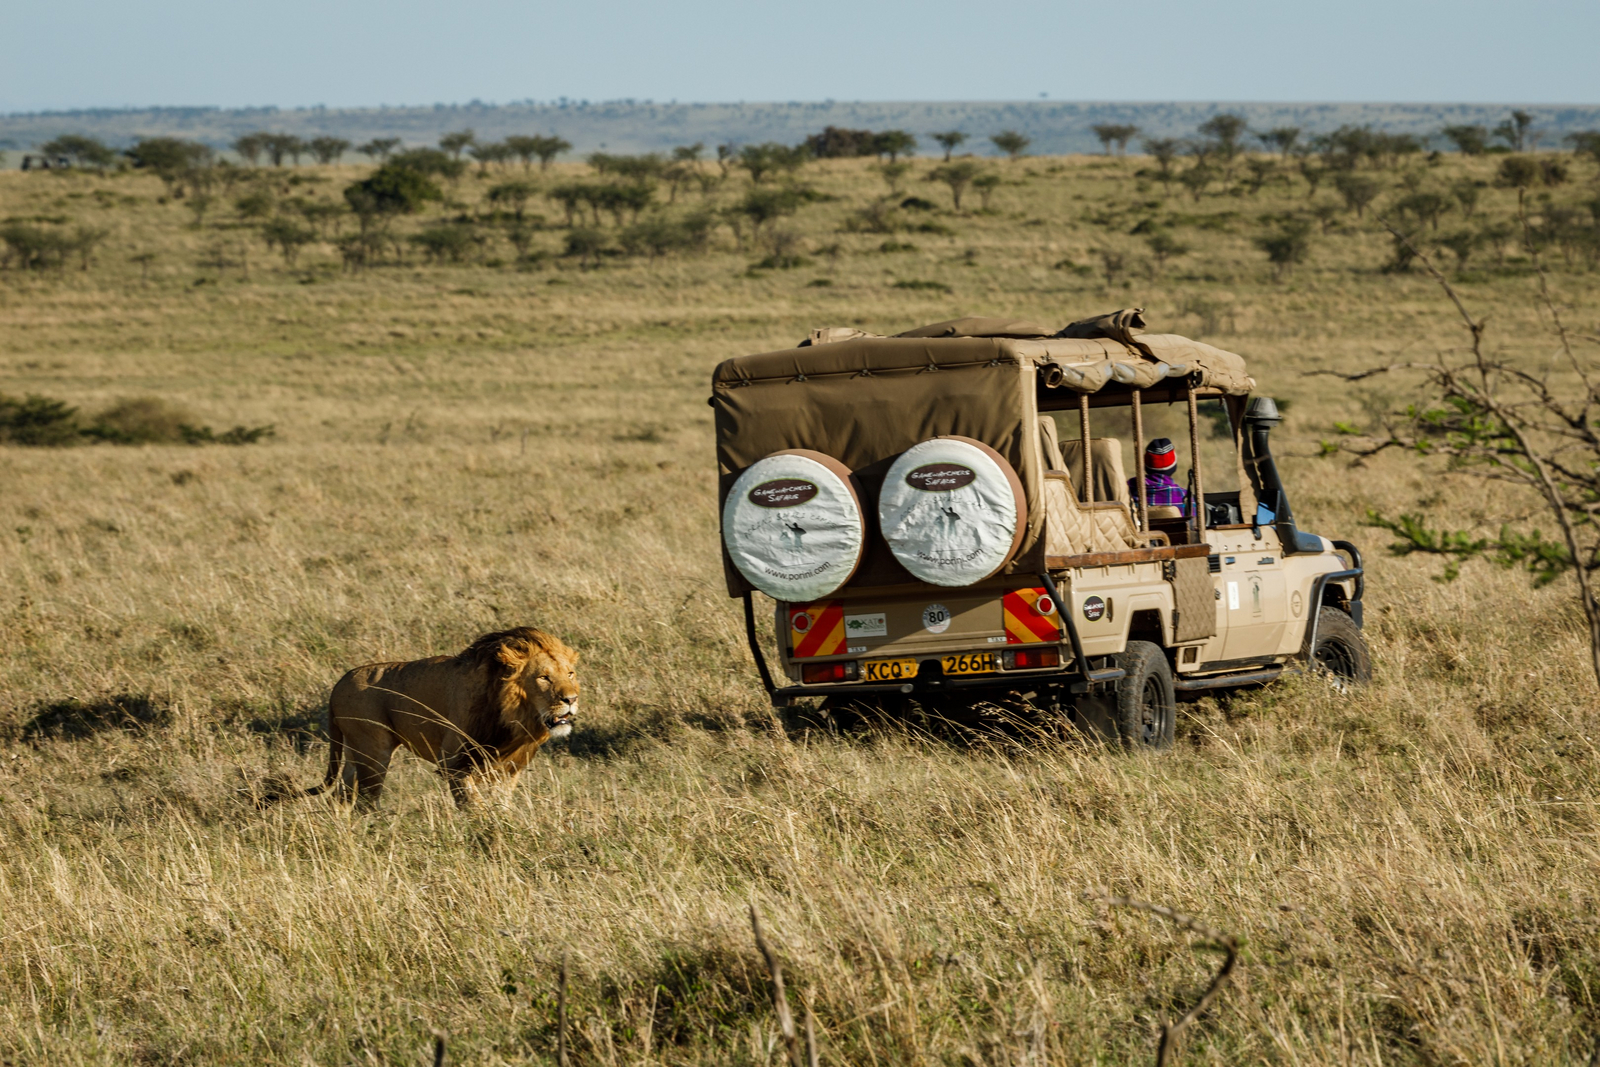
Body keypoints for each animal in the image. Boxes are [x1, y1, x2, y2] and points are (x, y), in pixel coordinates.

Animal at [286, 626, 579, 809]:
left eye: (570, 674)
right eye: (544, 677)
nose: (572, 699)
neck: (515, 717)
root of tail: (339, 682)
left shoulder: (508, 766)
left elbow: (501, 804)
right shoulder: (454, 761)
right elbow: (475, 806)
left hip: (353, 749)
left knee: (341, 796)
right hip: (373, 750)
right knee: (365, 802)